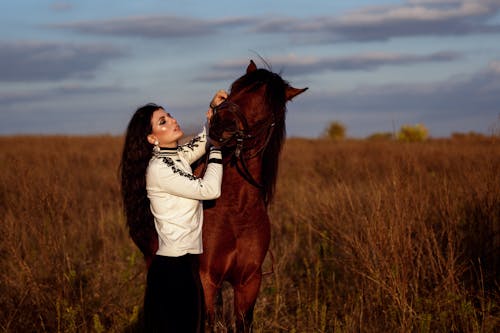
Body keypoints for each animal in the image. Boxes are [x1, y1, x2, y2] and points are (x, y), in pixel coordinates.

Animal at [199, 58, 308, 330]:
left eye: (269, 105)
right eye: (235, 88)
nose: (220, 124)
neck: (235, 210)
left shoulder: (248, 282)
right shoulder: (206, 278)